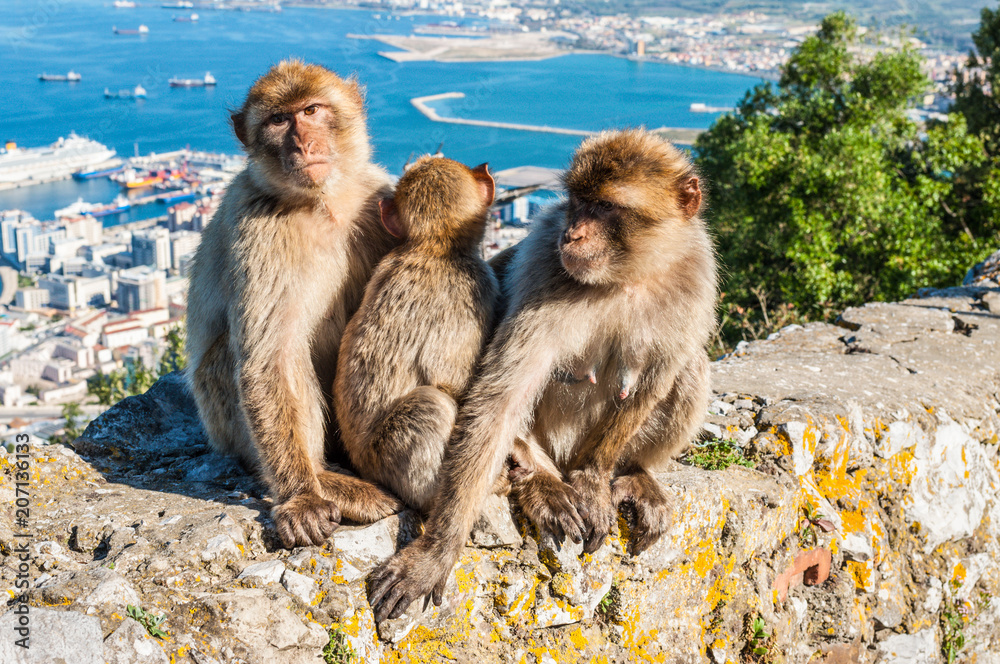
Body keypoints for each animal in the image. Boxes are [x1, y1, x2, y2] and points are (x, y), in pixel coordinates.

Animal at [186, 60, 405, 550]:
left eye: (311, 110)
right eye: (278, 120)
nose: (303, 143)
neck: (324, 204)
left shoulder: (380, 195)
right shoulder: (257, 227)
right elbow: (272, 359)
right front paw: (302, 498)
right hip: (224, 426)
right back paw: (327, 481)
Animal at [333, 156, 499, 511]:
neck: (434, 247)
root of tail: (362, 465)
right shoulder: (478, 285)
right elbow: (451, 382)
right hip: (388, 454)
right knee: (430, 403)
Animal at [368, 129, 718, 621]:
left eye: (605, 207)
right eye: (576, 202)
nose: (573, 233)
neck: (625, 276)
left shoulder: (695, 273)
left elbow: (655, 377)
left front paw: (592, 479)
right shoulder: (543, 264)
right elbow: (501, 397)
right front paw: (436, 552)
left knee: (690, 367)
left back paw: (633, 473)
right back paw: (541, 483)